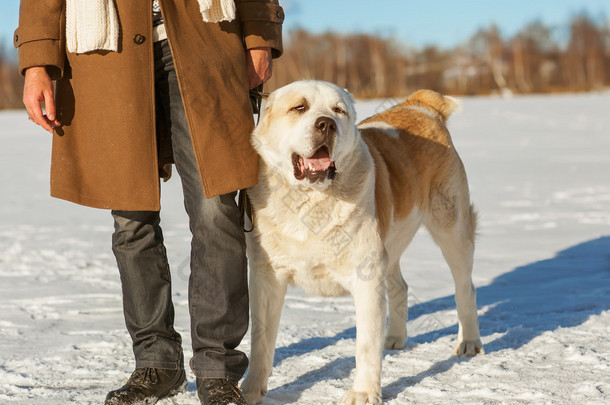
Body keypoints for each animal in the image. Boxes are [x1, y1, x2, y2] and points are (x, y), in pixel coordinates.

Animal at [240, 80, 482, 402]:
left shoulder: (366, 276)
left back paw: (469, 342)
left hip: (451, 227)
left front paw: (364, 393)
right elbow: (262, 339)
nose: (326, 124)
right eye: (299, 107)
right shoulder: (266, 277)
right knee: (400, 287)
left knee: (464, 287)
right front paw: (250, 391)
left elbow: (365, 344)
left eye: (338, 110)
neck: (313, 200)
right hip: (392, 243)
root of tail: (420, 106)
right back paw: (394, 338)